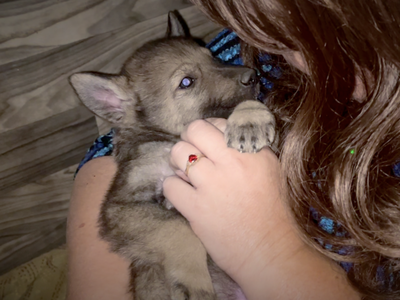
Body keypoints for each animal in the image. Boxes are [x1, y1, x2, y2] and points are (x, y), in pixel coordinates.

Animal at [70, 11, 276, 300]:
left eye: (212, 57)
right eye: (186, 82)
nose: (254, 75)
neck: (168, 138)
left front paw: (250, 117)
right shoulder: (122, 207)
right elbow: (178, 228)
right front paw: (195, 279)